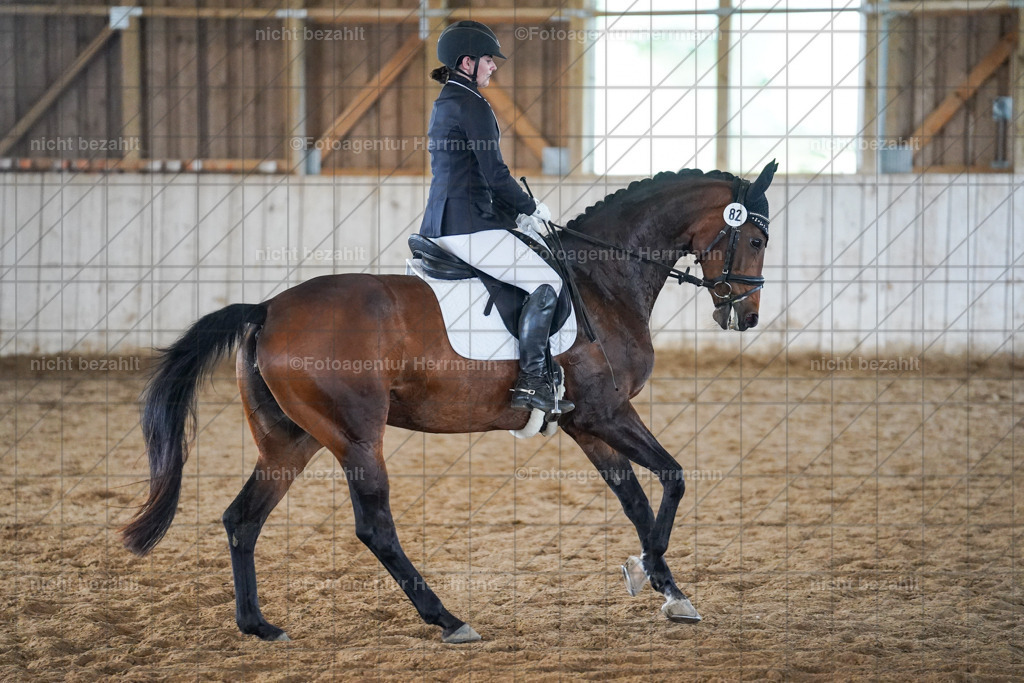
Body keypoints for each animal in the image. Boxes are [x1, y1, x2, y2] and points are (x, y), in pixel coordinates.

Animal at [121, 161, 778, 644]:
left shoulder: (587, 424)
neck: (603, 280)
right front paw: (649, 572)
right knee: (374, 528)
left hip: (291, 438)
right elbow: (673, 478)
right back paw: (448, 619)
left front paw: (670, 591)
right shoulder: (607, 413)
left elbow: (638, 500)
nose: (744, 316)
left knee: (242, 519)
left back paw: (258, 625)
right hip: (355, 437)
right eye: (753, 237)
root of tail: (267, 309)